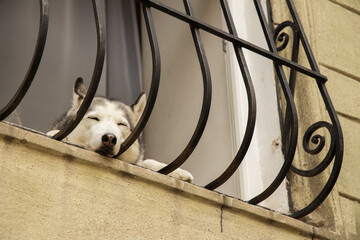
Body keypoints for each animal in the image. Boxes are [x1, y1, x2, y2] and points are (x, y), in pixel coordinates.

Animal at [48, 78, 194, 183]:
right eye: (94, 118)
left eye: (121, 124)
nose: (110, 138)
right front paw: (56, 135)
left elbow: (145, 162)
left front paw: (177, 171)